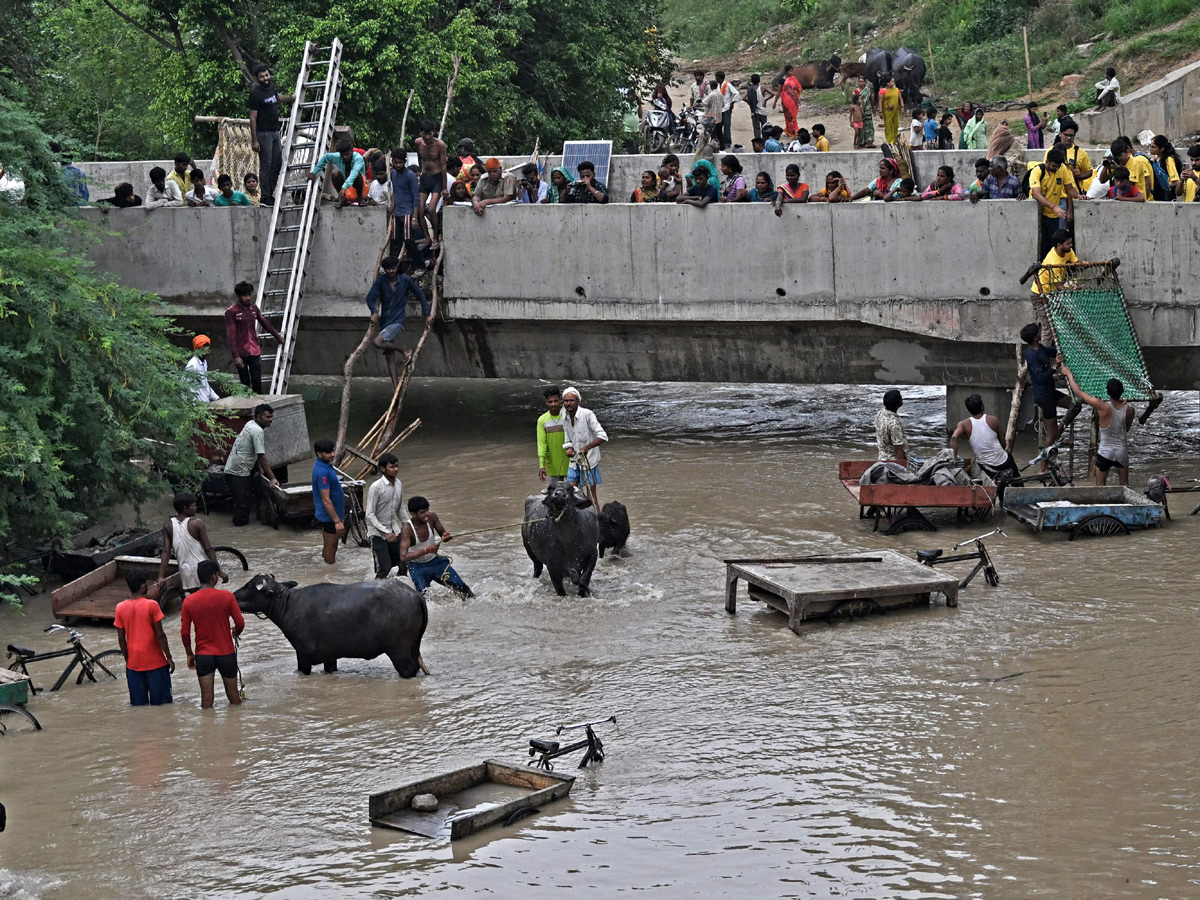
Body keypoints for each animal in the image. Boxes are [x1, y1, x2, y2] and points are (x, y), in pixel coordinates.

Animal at [234, 578, 427, 676]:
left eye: (249, 587)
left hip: (399, 650)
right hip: (413, 646)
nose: (233, 595)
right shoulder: (330, 657)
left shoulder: (303, 656)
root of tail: (415, 595)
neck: (289, 604)